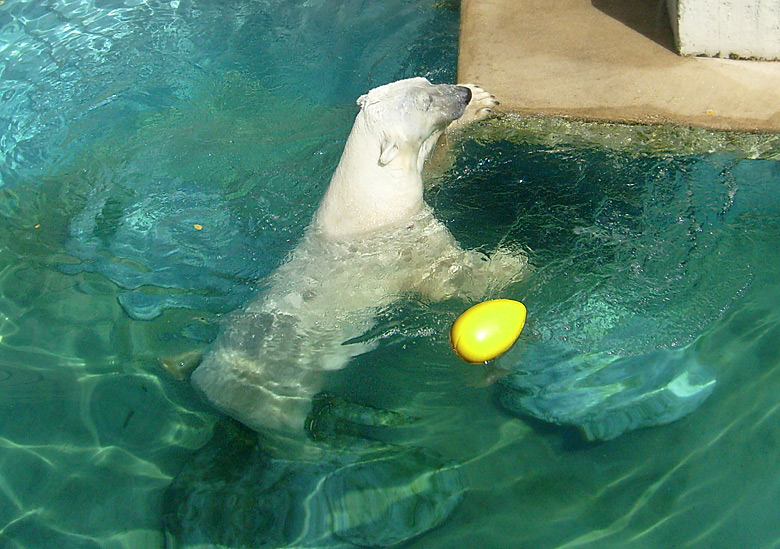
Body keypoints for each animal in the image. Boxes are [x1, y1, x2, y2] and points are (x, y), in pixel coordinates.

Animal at [189, 78, 524, 454]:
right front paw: (510, 261)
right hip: (273, 403)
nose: (462, 95)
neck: (365, 195)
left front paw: (481, 102)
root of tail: (207, 388)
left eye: (425, 82)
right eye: (425, 102)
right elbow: (446, 277)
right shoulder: (404, 238)